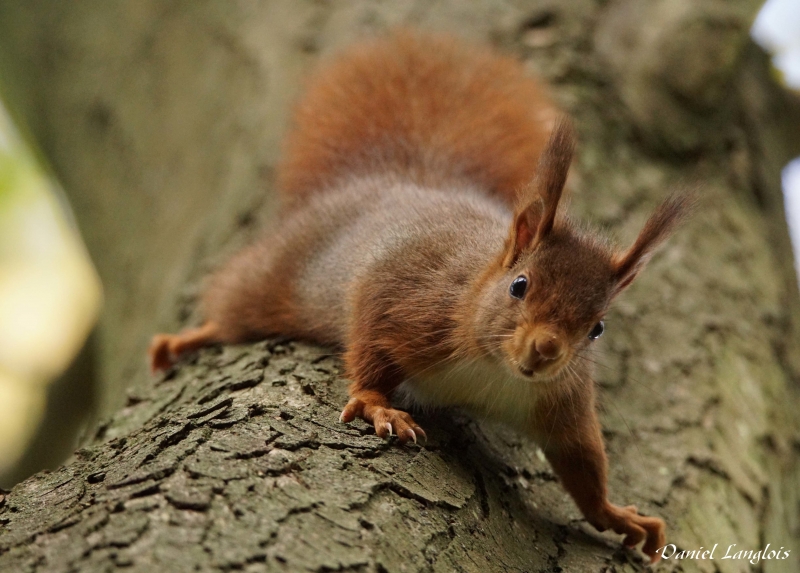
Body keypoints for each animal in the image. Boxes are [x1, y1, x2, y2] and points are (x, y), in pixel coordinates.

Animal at [152, 32, 692, 564]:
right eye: (519, 285)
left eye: (598, 327)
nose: (546, 350)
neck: (495, 369)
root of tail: (400, 181)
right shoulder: (406, 301)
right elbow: (370, 348)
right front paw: (378, 406)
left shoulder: (561, 402)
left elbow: (583, 462)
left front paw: (616, 515)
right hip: (277, 275)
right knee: (233, 306)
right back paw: (186, 339)